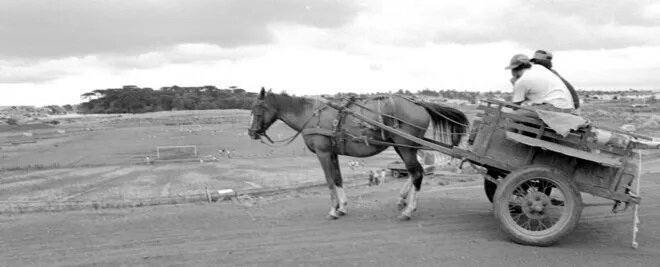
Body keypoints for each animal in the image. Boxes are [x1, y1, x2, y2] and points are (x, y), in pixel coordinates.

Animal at [248, 89, 470, 221]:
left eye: (257, 108)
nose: (251, 132)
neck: (311, 115)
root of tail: (420, 103)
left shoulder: (323, 153)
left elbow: (329, 181)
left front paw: (333, 210)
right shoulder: (333, 152)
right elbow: (338, 179)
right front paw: (342, 207)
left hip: (406, 146)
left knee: (416, 172)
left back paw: (409, 209)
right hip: (401, 146)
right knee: (416, 171)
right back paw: (402, 200)